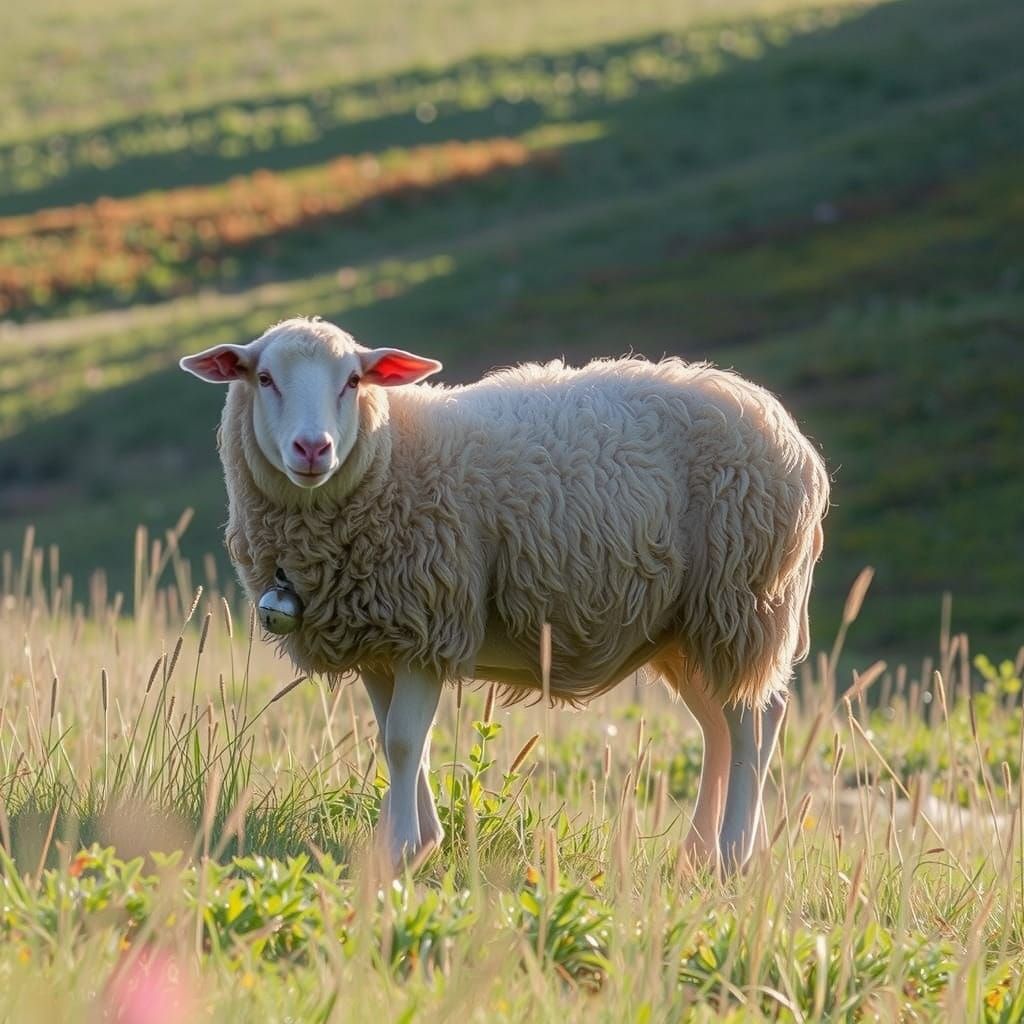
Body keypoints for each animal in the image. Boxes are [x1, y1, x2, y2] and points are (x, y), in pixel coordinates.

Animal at [180, 316, 829, 873]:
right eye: (264, 377)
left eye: (353, 380)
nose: (313, 449)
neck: (390, 456)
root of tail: (789, 431)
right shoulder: (379, 637)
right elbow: (396, 739)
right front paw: (417, 840)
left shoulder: (430, 621)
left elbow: (403, 741)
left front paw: (402, 850)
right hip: (685, 628)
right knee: (719, 727)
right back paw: (700, 854)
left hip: (744, 602)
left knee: (754, 724)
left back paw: (734, 854)